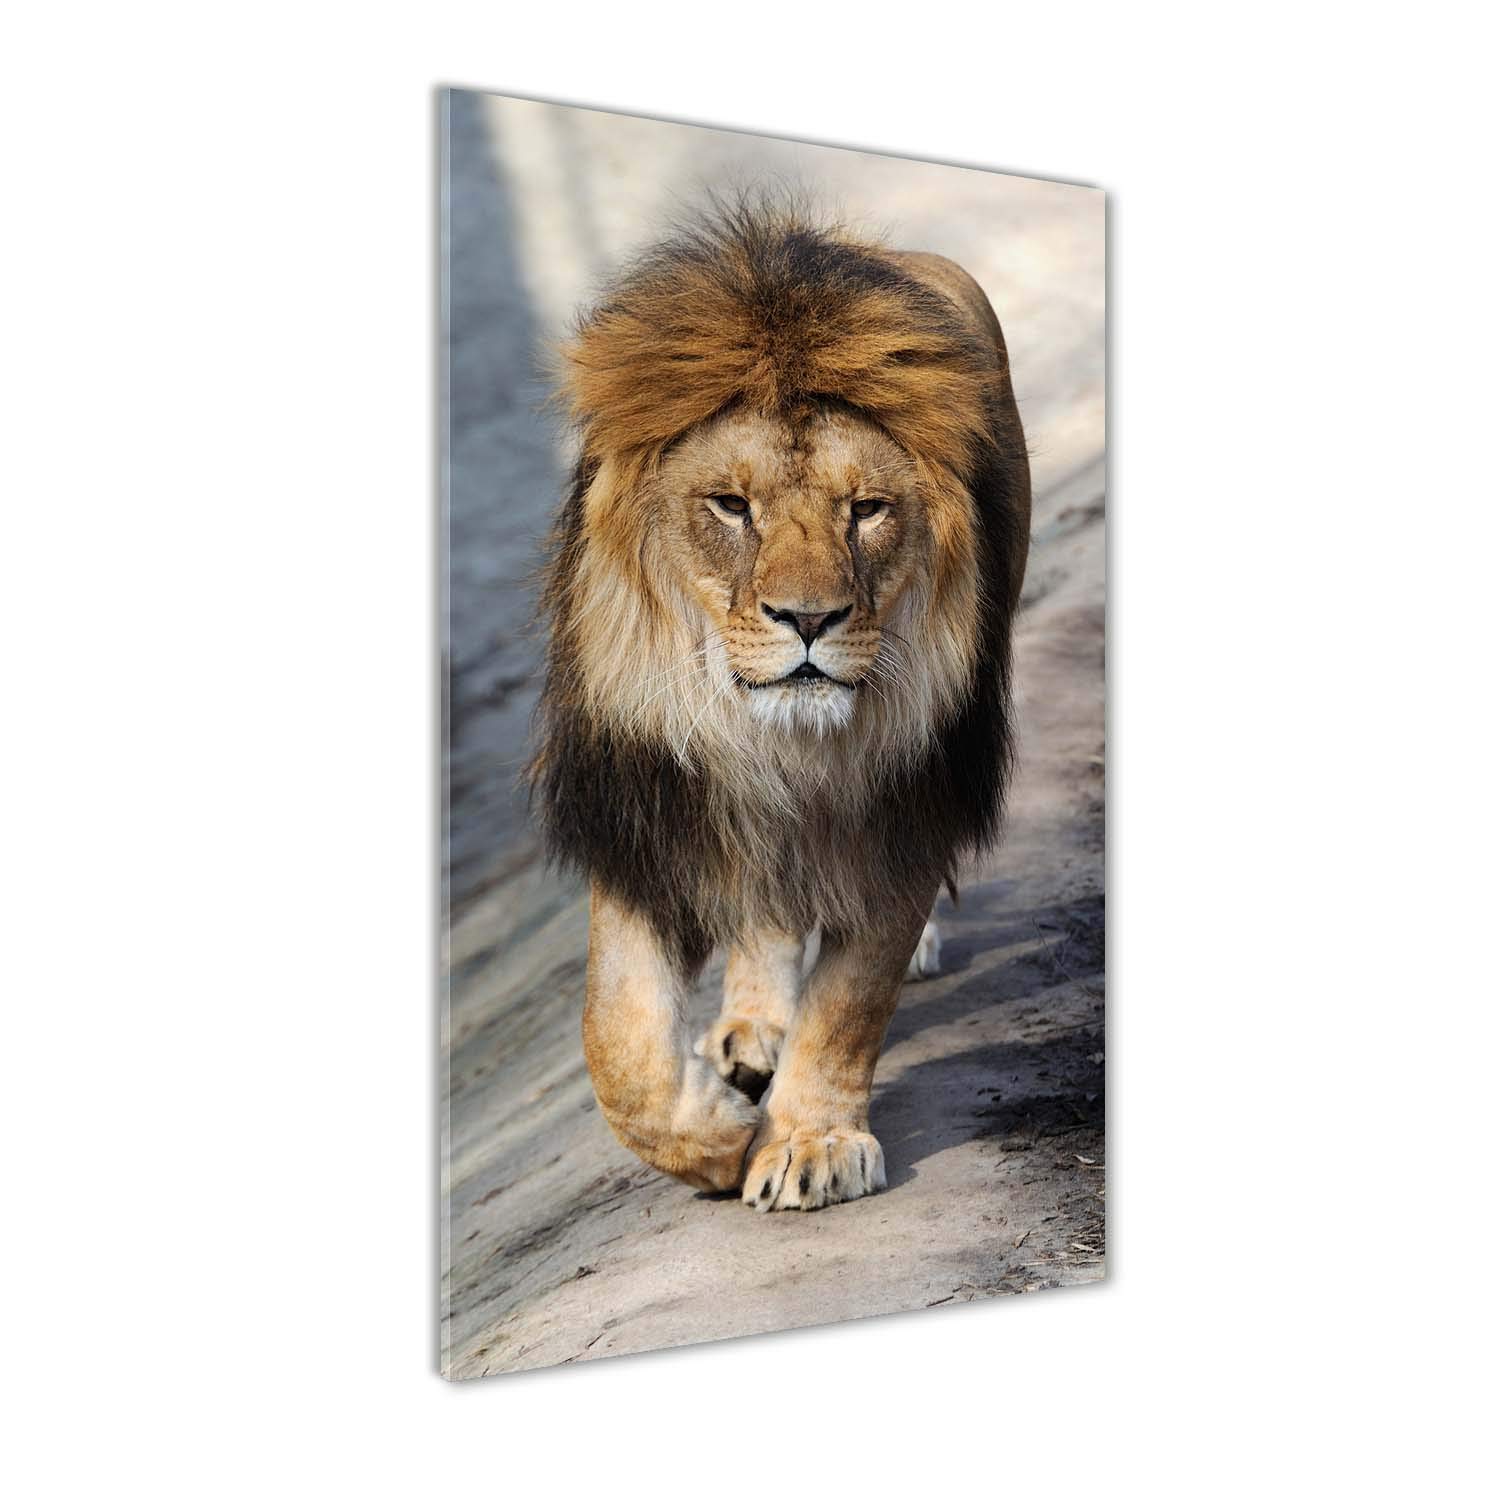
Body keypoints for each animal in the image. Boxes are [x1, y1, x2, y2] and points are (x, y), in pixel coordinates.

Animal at [530, 199, 1030, 1210]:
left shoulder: (908, 809)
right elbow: (617, 1040)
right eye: (731, 505)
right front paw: (715, 1136)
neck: (785, 744)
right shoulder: (653, 809)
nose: (810, 618)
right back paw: (751, 1031)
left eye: (868, 509)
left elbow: (851, 1001)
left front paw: (809, 1142)